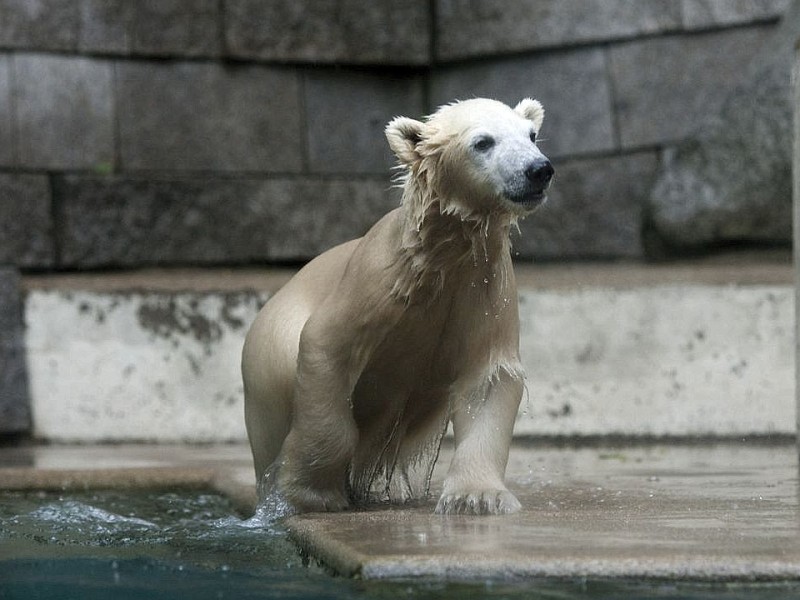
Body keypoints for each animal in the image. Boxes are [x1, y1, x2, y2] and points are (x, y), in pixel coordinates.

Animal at [241, 98, 552, 516]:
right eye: (483, 142)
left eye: (531, 135)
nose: (538, 170)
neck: (440, 258)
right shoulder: (375, 281)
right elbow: (328, 346)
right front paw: (309, 493)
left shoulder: (484, 288)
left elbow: (488, 379)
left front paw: (476, 497)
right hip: (268, 356)